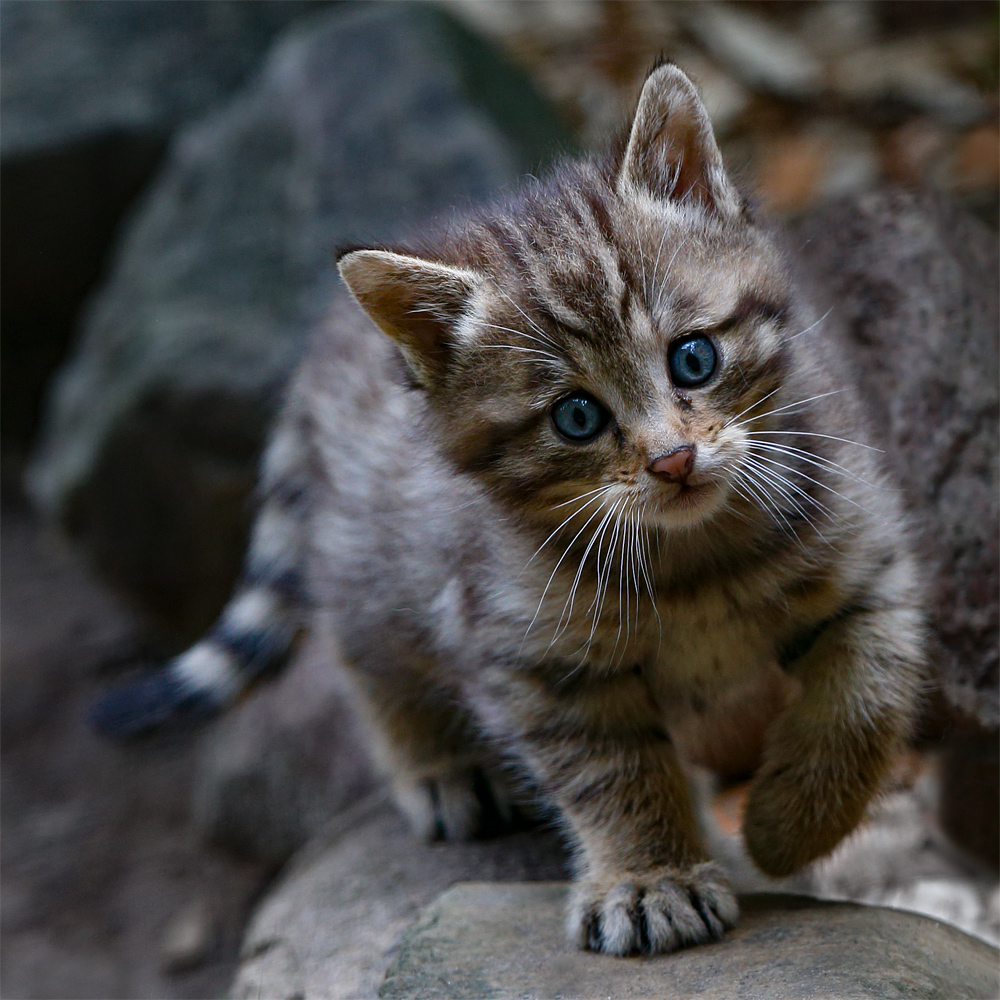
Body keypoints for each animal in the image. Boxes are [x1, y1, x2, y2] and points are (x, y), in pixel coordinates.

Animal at [90, 62, 924, 952]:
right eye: (577, 417)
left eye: (694, 358)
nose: (672, 460)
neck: (694, 560)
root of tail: (325, 347)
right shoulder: (526, 652)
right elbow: (613, 770)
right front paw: (648, 877)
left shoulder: (869, 551)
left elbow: (865, 698)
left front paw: (787, 825)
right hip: (367, 565)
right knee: (361, 651)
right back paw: (438, 765)